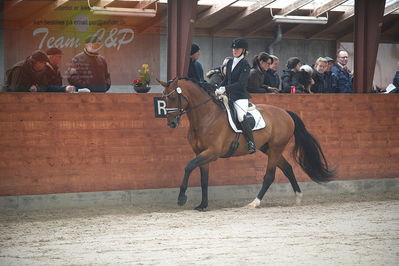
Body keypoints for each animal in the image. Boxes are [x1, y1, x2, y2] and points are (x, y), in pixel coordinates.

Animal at [158, 78, 336, 211]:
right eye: (163, 98)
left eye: (172, 98)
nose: (172, 123)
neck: (206, 117)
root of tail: (285, 113)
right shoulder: (201, 153)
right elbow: (203, 179)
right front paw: (202, 205)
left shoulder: (212, 153)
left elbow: (188, 166)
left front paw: (181, 198)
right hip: (268, 148)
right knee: (287, 168)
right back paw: (298, 198)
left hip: (276, 148)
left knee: (269, 176)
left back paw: (254, 203)